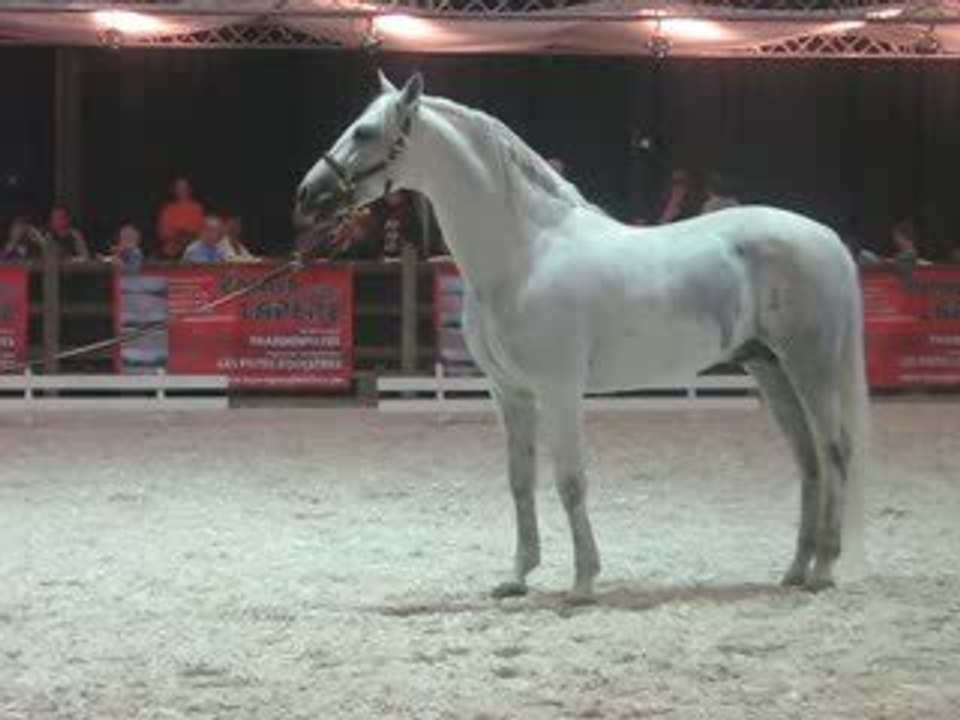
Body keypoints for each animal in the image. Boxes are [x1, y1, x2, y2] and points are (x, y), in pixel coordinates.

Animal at [295, 72, 869, 603]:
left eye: (365, 131)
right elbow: (520, 481)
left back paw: (822, 569)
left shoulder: (559, 390)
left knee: (835, 451)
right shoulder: (510, 393)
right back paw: (794, 570)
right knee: (809, 462)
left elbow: (571, 481)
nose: (307, 195)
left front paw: (583, 582)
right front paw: (517, 577)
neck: (525, 254)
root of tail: (826, 238)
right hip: (770, 368)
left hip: (810, 367)